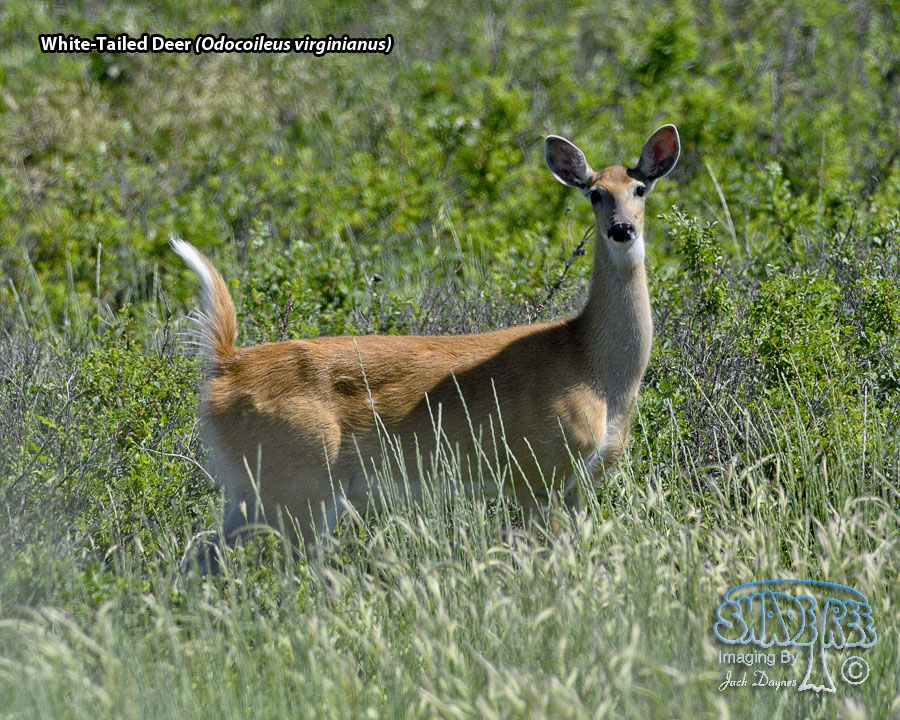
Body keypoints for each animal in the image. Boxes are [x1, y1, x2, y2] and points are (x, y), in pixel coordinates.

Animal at [172, 125, 679, 567]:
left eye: (640, 189)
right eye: (595, 193)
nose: (621, 229)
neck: (593, 366)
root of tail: (226, 365)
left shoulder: (577, 482)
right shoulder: (541, 469)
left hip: (254, 488)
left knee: (200, 555)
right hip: (299, 480)